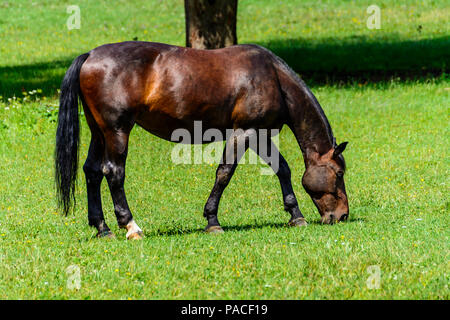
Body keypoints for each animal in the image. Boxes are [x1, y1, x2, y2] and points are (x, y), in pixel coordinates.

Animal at [53, 41, 348, 239]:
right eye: (339, 173)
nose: (342, 215)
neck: (274, 77)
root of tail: (90, 55)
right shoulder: (245, 132)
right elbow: (224, 173)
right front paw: (212, 220)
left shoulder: (260, 134)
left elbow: (282, 169)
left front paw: (295, 215)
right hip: (117, 131)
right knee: (114, 173)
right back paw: (131, 226)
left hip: (98, 132)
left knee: (92, 172)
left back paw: (102, 228)